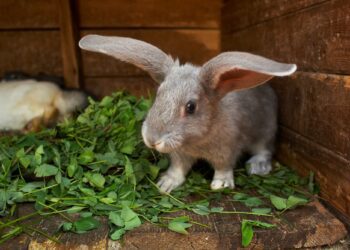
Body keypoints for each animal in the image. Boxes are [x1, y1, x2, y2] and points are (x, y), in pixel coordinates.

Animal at [79, 34, 296, 192]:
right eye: (158, 94)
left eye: (191, 107)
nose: (152, 139)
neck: (196, 141)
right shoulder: (179, 154)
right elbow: (178, 169)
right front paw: (165, 184)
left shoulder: (227, 151)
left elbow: (224, 168)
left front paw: (221, 185)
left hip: (266, 131)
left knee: (265, 150)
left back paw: (258, 167)